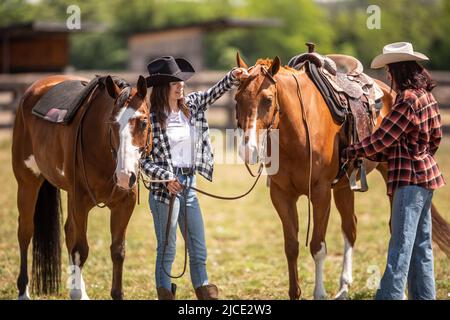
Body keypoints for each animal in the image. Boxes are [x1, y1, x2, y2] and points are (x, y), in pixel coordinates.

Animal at [11, 74, 151, 298]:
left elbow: (118, 250)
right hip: (27, 183)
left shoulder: (124, 204)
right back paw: (23, 292)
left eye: (143, 122)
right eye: (112, 123)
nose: (123, 176)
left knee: (68, 231)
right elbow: (80, 249)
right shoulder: (80, 202)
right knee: (25, 231)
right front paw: (76, 293)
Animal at [236, 54, 450, 300]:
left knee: (395, 230)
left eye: (268, 99)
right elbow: (291, 246)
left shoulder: (320, 193)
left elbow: (318, 246)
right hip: (344, 187)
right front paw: (295, 292)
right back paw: (344, 287)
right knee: (350, 228)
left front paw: (319, 293)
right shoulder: (281, 195)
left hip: (390, 176)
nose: (248, 149)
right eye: (237, 99)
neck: (298, 132)